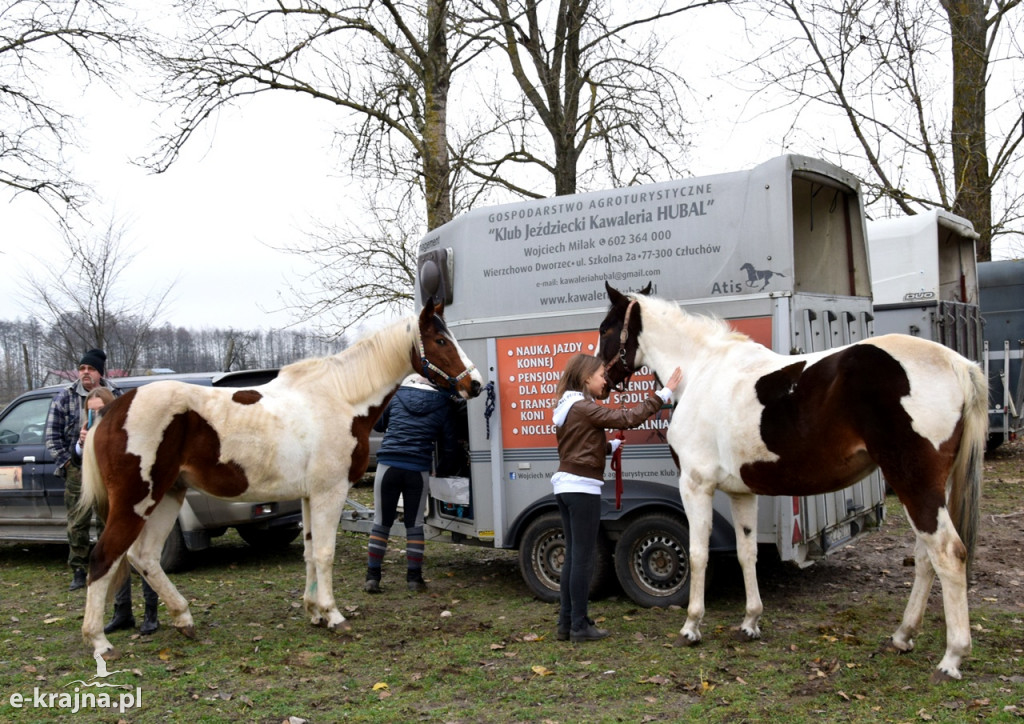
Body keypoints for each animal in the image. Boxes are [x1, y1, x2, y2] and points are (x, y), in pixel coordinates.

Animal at [78, 303, 479, 663]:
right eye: (440, 340)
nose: (475, 384)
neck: (340, 398)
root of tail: (112, 410)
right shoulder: (330, 493)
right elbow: (325, 553)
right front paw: (334, 615)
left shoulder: (308, 497)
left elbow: (309, 552)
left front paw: (314, 611)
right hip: (137, 501)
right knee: (104, 558)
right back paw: (99, 642)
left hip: (166, 497)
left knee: (143, 557)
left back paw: (184, 619)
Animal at [598, 280, 987, 684]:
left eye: (606, 329)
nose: (600, 382)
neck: (701, 370)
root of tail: (956, 364)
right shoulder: (741, 493)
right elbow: (747, 552)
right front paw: (750, 622)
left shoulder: (695, 485)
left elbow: (697, 554)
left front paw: (691, 627)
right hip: (932, 489)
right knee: (925, 558)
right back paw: (902, 637)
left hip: (914, 484)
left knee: (948, 555)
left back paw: (952, 659)